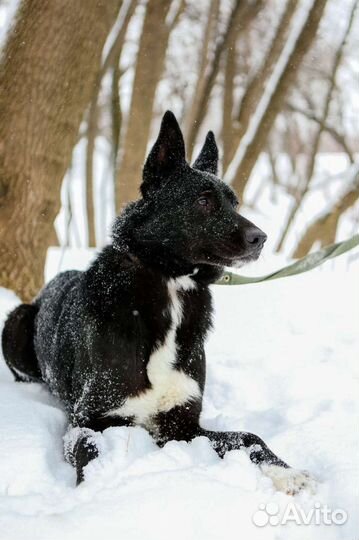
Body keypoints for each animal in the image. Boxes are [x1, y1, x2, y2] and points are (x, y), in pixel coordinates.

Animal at [1, 112, 314, 492]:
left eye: (235, 203)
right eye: (204, 201)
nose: (261, 238)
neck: (171, 283)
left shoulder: (182, 426)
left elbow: (249, 437)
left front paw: (286, 472)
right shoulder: (88, 419)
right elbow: (90, 449)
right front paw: (92, 491)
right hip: (16, 321)